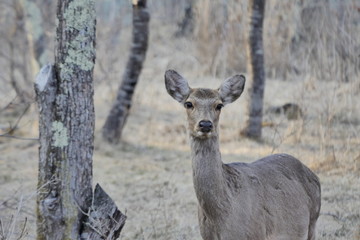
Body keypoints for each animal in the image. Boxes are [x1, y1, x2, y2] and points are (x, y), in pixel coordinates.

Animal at [165, 70, 322, 240]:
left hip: (312, 223)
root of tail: (314, 176)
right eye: (189, 104)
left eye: (219, 105)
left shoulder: (257, 233)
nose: (205, 124)